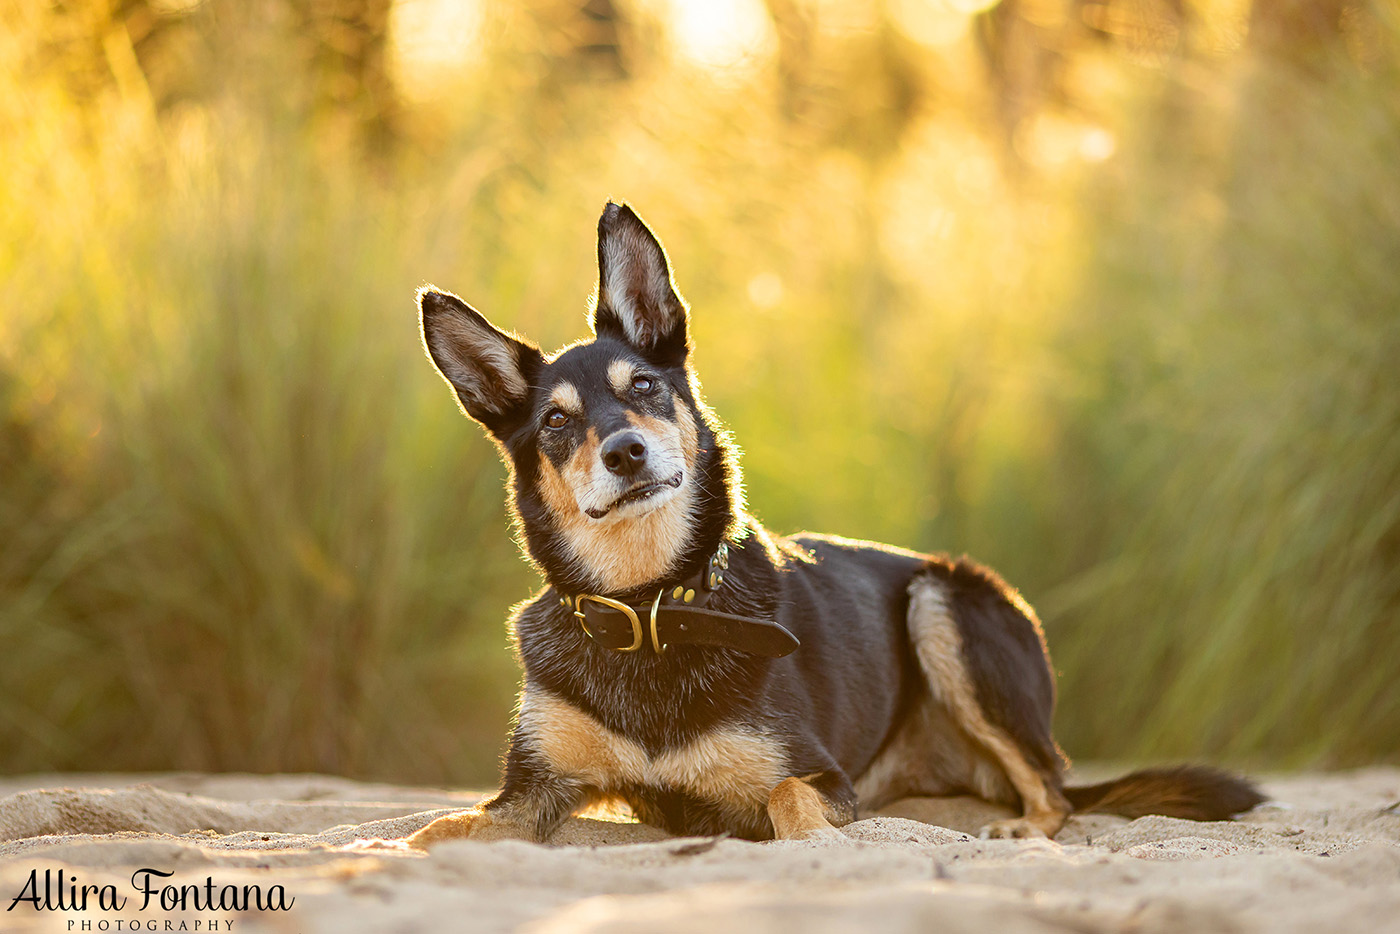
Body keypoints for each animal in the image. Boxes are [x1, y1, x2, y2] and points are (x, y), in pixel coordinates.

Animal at [408, 203, 1271, 845]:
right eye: (556, 423)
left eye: (644, 385)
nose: (625, 452)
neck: (651, 606)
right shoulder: (531, 791)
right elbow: (436, 832)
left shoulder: (822, 774)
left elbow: (789, 802)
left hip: (944, 602)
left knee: (1054, 793)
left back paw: (1021, 830)